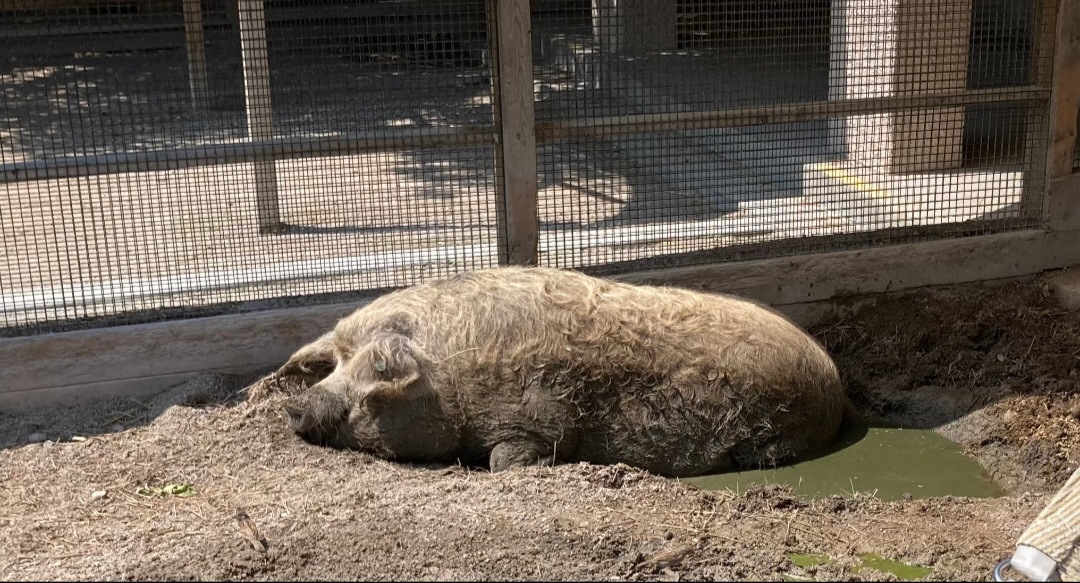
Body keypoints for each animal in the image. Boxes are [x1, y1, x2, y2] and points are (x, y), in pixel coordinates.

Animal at [275, 266, 852, 478]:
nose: (296, 407)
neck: (452, 376)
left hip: (783, 432)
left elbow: (507, 459)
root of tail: (835, 381)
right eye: (336, 364)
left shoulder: (541, 420)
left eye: (368, 389)